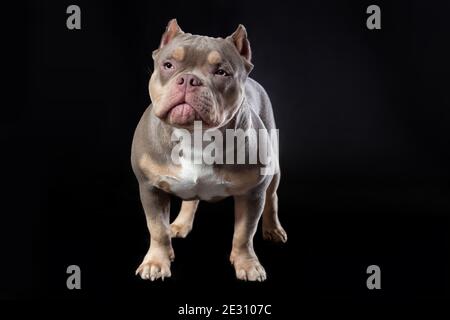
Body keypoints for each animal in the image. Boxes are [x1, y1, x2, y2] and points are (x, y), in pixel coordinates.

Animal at [130, 18, 286, 282]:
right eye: (168, 65)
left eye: (221, 72)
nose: (188, 79)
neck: (195, 135)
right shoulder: (150, 188)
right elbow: (157, 229)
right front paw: (156, 263)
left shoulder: (252, 193)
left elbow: (244, 234)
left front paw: (247, 264)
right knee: (191, 201)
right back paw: (180, 225)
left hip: (273, 169)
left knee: (272, 197)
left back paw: (273, 229)